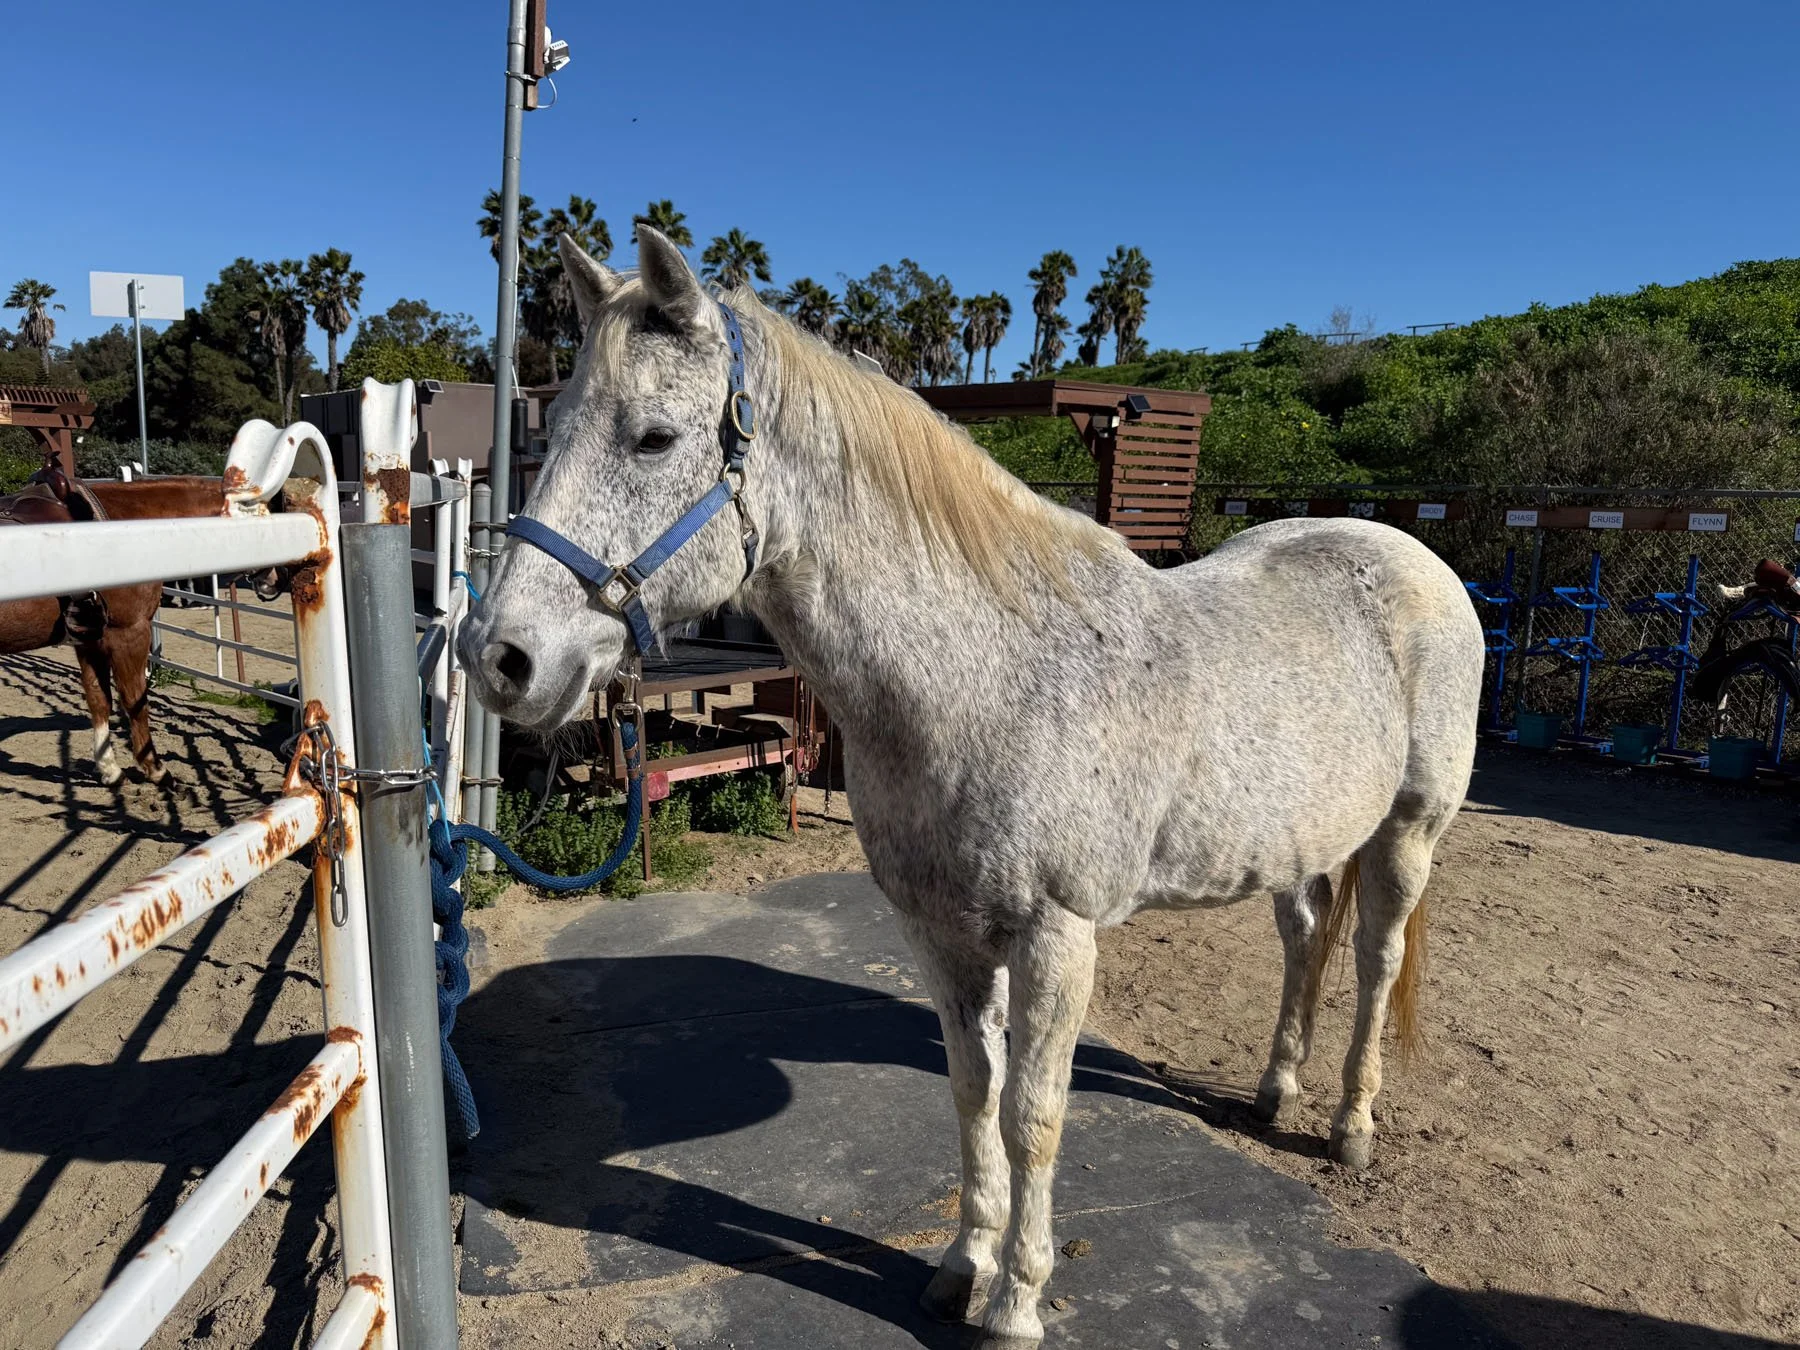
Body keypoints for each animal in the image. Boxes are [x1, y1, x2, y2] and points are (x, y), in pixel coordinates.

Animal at [0, 468, 240, 787]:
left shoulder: (89, 639)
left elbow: (99, 699)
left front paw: (110, 770)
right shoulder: (130, 633)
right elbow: (134, 700)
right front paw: (155, 768)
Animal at [458, 229, 1485, 1349]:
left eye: (652, 439)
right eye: (552, 430)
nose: (501, 658)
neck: (990, 673)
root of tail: (1406, 552)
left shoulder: (1057, 937)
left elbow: (1034, 1116)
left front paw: (1018, 1303)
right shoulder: (940, 932)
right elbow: (970, 1094)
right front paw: (961, 1267)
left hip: (1408, 833)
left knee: (1377, 961)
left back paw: (1350, 1126)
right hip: (1300, 839)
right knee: (1305, 940)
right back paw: (1272, 1091)